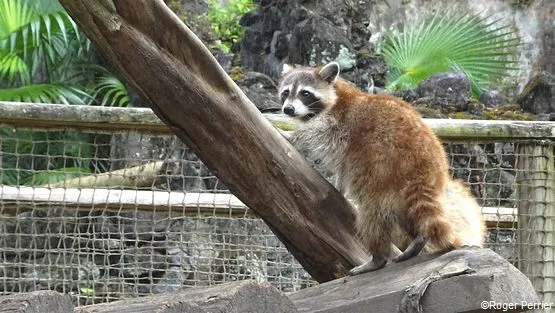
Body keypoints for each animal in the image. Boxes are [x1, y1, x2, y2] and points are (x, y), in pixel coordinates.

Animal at [280, 62, 484, 272]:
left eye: (305, 93)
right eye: (285, 93)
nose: (288, 109)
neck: (336, 93)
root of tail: (428, 167)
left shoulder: (337, 122)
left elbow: (315, 132)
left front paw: (292, 136)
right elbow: (343, 168)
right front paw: (339, 185)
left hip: (385, 171)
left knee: (372, 216)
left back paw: (377, 257)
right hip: (402, 189)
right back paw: (419, 238)